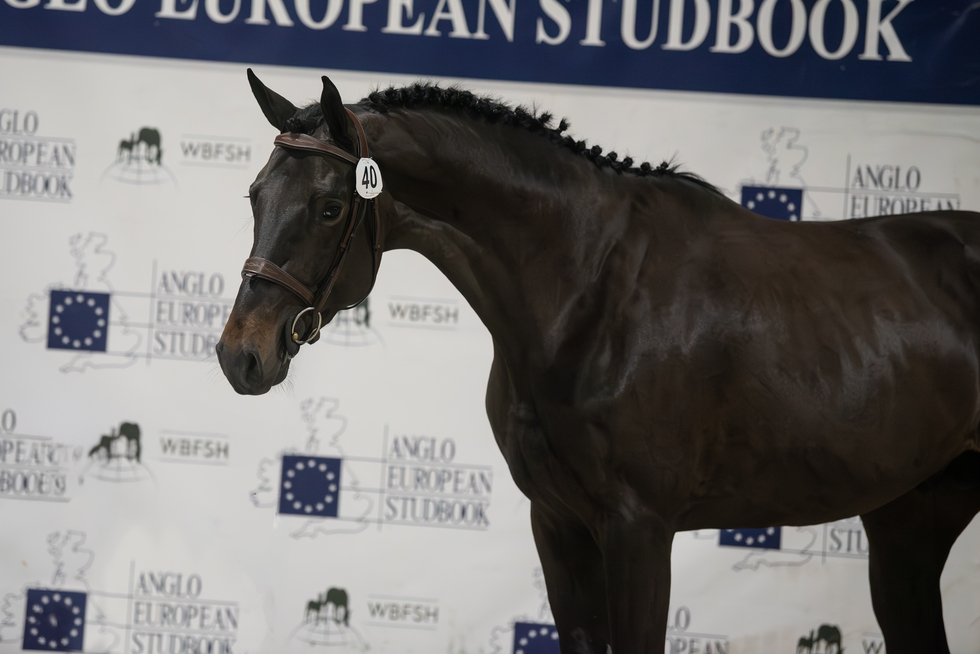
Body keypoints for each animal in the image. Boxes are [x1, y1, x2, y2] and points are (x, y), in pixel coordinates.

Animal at [216, 70, 980, 654]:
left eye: (328, 206)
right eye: (254, 196)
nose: (239, 355)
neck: (591, 292)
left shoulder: (639, 529)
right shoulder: (558, 524)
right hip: (910, 522)